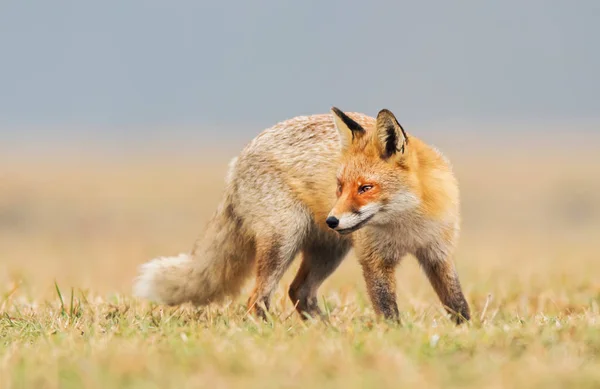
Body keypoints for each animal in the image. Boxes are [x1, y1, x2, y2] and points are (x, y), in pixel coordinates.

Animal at [134, 106, 472, 322]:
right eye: (339, 186)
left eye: (366, 188)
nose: (332, 220)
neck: (407, 225)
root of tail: (237, 161)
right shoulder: (375, 261)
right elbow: (388, 311)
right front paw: (393, 338)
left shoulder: (437, 253)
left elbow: (458, 303)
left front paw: (465, 332)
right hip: (284, 241)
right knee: (257, 298)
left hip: (328, 251)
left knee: (299, 292)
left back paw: (328, 332)